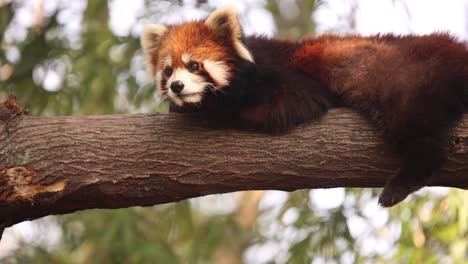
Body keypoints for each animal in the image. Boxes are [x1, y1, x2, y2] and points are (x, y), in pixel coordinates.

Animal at [140, 6, 468, 206]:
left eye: (194, 65)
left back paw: (400, 185)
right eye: (167, 71)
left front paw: (212, 110)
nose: (176, 86)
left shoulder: (292, 82)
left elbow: (283, 107)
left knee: (419, 132)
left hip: (407, 82)